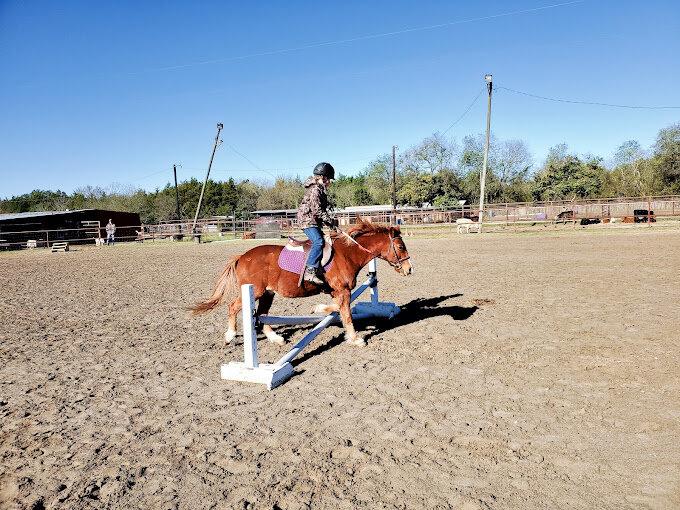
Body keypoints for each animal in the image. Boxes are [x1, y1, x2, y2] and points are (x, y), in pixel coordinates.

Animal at [193, 220, 414, 346]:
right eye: (400, 246)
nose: (409, 269)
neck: (348, 254)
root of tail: (242, 257)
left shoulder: (337, 292)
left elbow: (339, 309)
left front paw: (319, 309)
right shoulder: (342, 290)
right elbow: (346, 313)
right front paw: (355, 339)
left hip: (268, 294)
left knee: (262, 315)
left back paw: (276, 338)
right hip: (254, 291)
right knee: (233, 307)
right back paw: (230, 335)